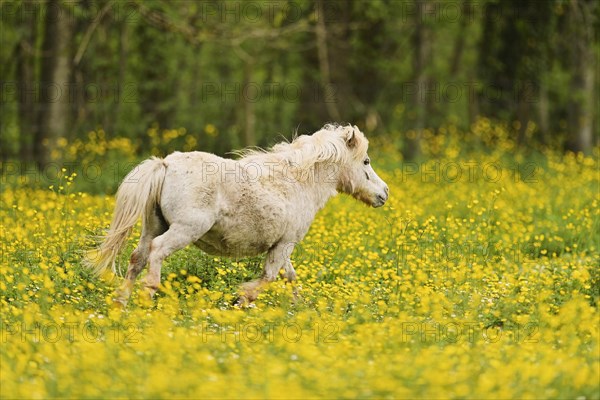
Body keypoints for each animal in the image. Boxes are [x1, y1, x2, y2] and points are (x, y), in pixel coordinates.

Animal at [85, 123, 390, 304]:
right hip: (184, 230)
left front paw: (299, 307)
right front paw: (242, 299)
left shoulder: (282, 247)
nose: (384, 193)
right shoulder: (285, 244)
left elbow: (289, 277)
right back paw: (149, 294)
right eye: (366, 161)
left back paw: (122, 304)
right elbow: (268, 278)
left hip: (152, 227)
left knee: (137, 258)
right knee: (157, 252)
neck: (297, 182)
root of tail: (165, 164)